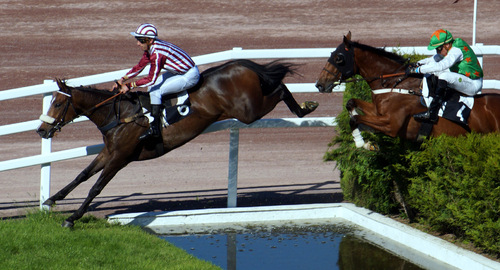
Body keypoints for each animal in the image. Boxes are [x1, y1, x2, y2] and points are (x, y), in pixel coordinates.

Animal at [37, 59, 318, 228]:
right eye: (50, 101)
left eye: (58, 103)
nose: (41, 130)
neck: (119, 114)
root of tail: (239, 64)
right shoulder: (109, 152)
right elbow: (82, 175)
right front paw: (51, 199)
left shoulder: (120, 157)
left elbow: (96, 187)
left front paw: (72, 218)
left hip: (249, 111)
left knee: (280, 89)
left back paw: (305, 106)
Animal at [316, 32, 500, 149]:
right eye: (331, 53)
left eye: (339, 58)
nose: (319, 84)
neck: (395, 83)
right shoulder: (377, 112)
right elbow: (351, 103)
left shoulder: (391, 124)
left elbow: (354, 119)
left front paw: (364, 143)